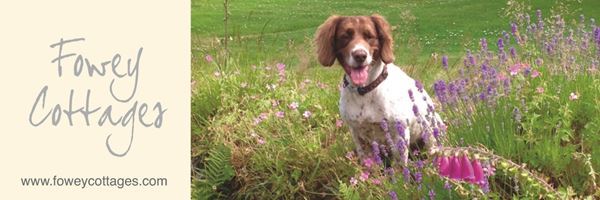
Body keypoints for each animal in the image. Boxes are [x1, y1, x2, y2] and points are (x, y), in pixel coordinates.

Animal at [314, 14, 440, 164]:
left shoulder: (399, 132)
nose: (360, 55)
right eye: (345, 36)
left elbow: (399, 166)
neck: (364, 91)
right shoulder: (357, 133)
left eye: (369, 36)